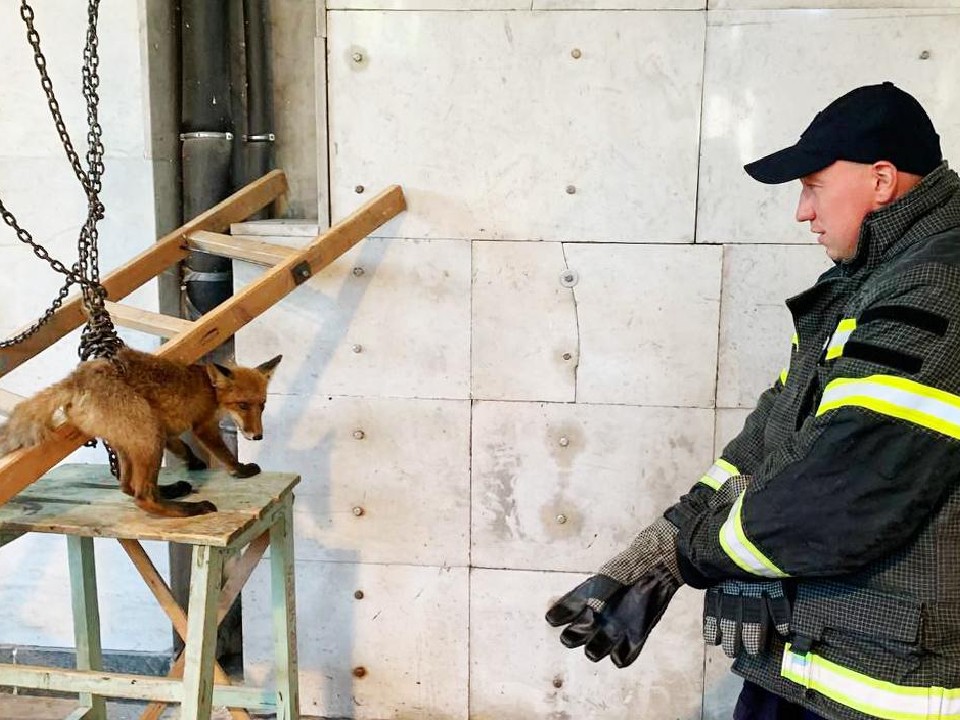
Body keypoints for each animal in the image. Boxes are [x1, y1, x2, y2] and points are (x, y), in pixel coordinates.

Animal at [0, 346, 284, 516]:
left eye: (262, 405)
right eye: (243, 405)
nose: (258, 436)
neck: (208, 388)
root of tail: (77, 379)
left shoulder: (169, 430)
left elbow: (183, 447)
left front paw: (193, 462)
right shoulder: (202, 425)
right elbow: (224, 454)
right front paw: (241, 469)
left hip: (132, 441)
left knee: (127, 486)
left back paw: (172, 490)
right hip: (149, 434)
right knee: (142, 497)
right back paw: (188, 508)